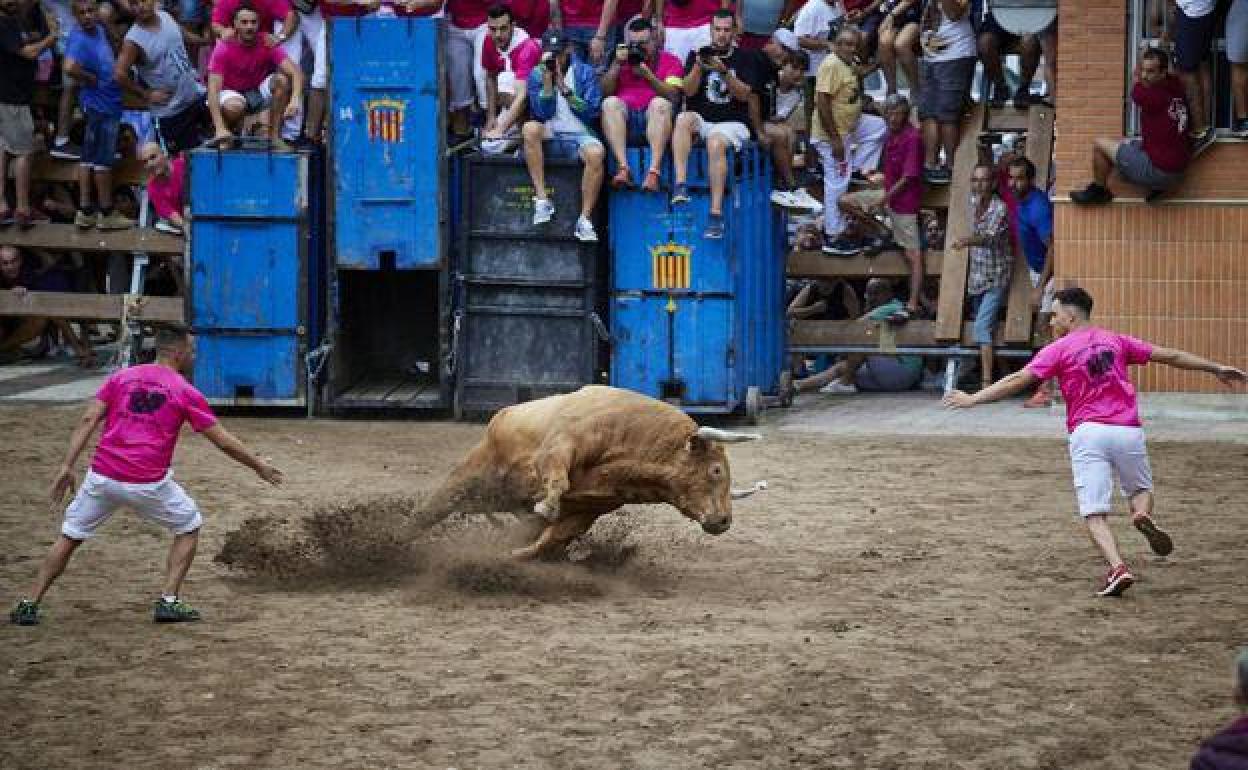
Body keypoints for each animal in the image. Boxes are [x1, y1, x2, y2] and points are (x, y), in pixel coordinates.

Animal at [419, 386, 763, 556]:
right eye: (716, 470)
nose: (724, 521)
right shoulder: (559, 446)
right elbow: (557, 478)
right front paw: (546, 505)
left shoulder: (588, 511)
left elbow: (552, 537)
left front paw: (518, 554)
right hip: (466, 479)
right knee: (427, 513)